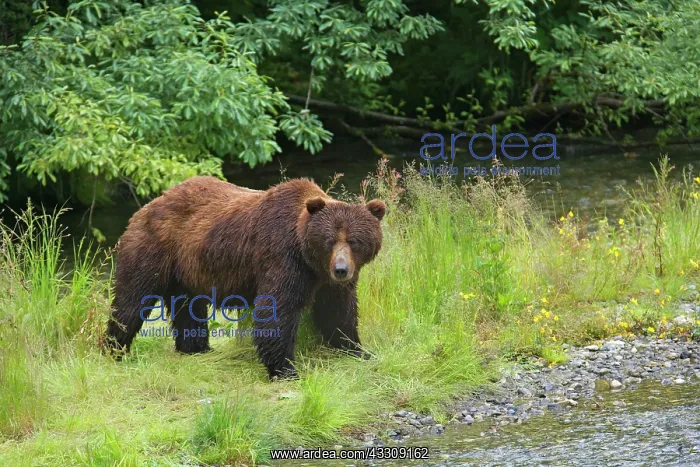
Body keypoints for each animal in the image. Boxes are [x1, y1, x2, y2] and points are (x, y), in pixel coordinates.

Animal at [104, 176, 386, 379]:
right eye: (329, 241)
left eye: (355, 241)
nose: (341, 269)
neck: (311, 261)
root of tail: (147, 206)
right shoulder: (281, 256)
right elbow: (276, 309)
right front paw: (285, 369)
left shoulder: (328, 283)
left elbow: (338, 311)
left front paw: (358, 350)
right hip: (153, 249)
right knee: (131, 300)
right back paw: (114, 348)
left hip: (186, 269)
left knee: (189, 307)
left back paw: (195, 347)